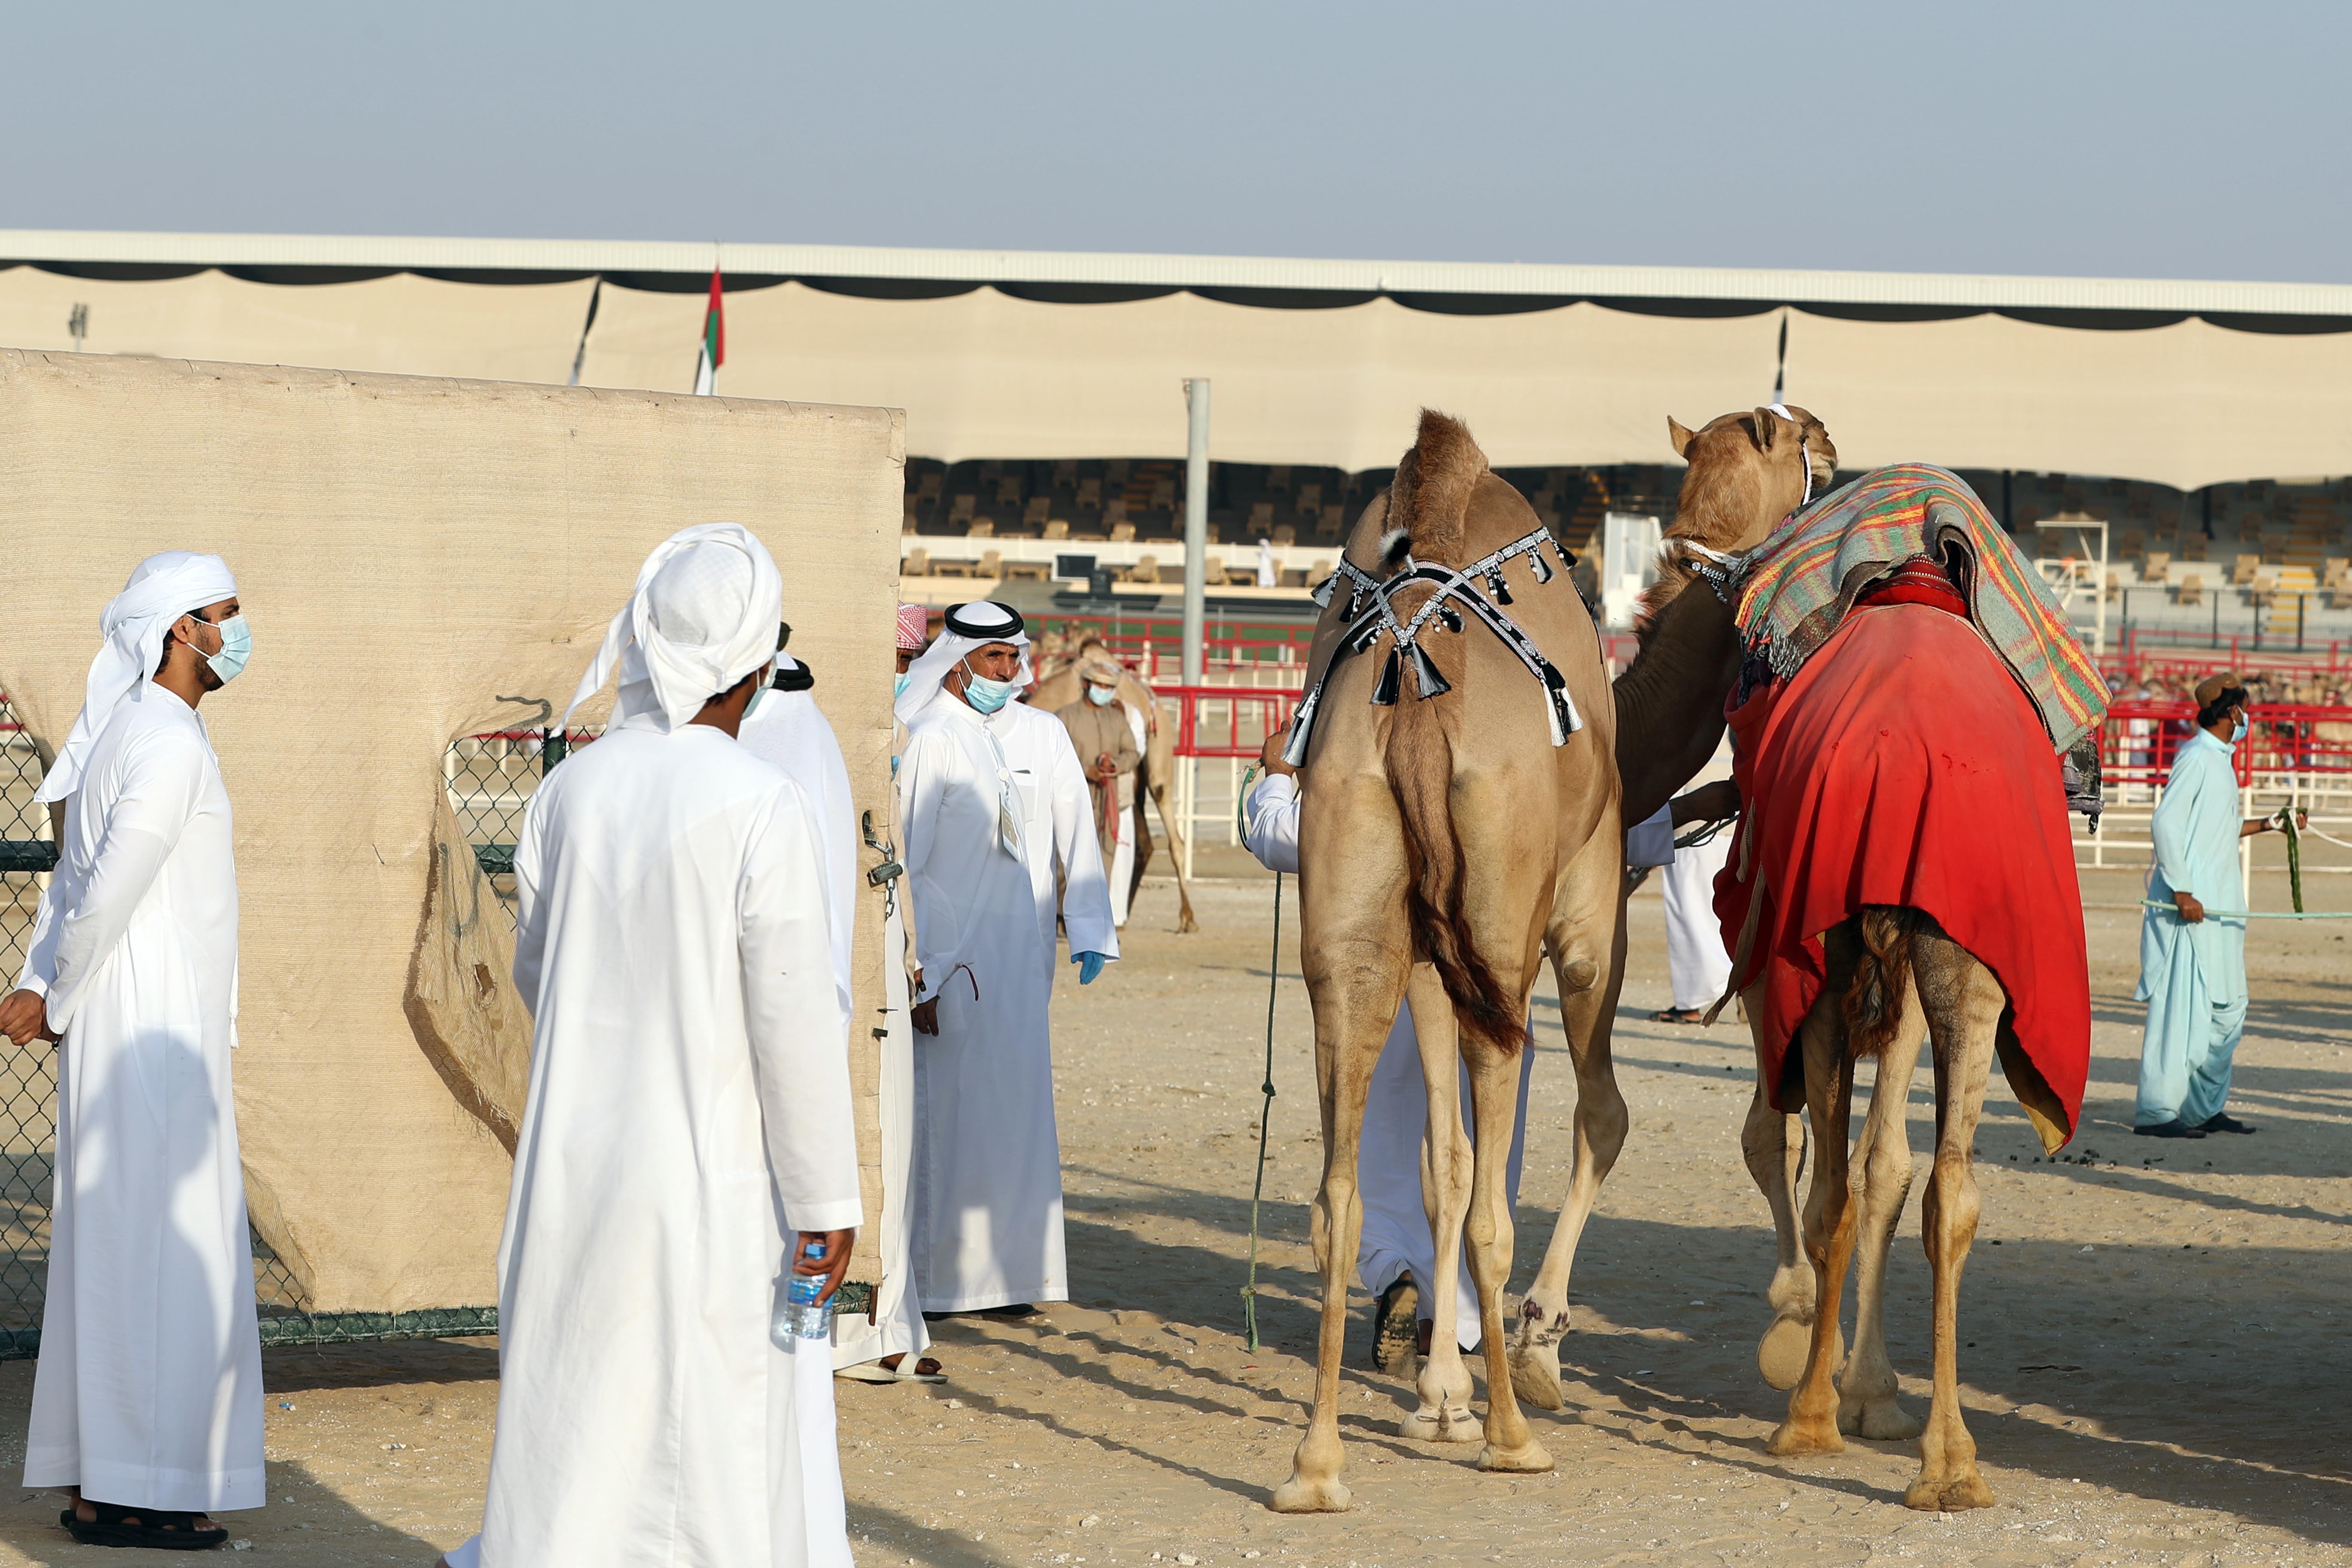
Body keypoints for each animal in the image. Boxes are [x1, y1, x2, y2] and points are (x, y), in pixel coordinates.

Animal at [1270, 411, 1618, 1514]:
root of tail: (1416, 697)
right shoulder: (1582, 911)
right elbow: (1583, 1124)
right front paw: (1501, 1378)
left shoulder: (1428, 957)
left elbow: (1438, 1162)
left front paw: (1437, 1397)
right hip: (1506, 939)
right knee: (1500, 1199)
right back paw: (1511, 1431)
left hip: (1350, 925)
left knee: (1337, 1199)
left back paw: (1317, 1463)